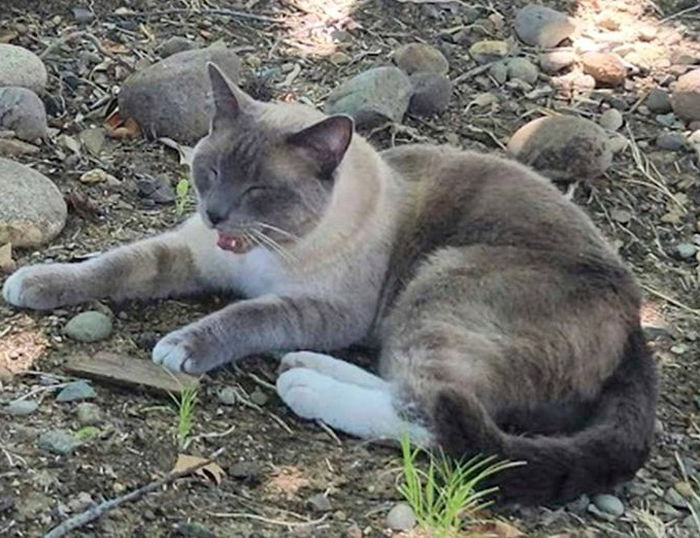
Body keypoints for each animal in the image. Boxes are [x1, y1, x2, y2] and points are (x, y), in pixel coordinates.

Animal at [1, 62, 656, 502]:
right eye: (208, 171)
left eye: (259, 189)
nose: (215, 214)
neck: (260, 253)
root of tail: (635, 319)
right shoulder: (191, 252)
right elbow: (112, 266)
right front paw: (32, 282)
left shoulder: (322, 309)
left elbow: (243, 316)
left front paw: (181, 347)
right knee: (415, 389)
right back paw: (306, 367)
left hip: (439, 286)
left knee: (436, 415)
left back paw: (305, 386)